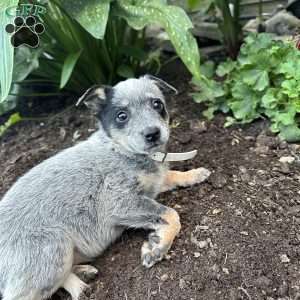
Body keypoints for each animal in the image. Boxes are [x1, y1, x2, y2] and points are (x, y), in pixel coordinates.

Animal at [0, 75, 211, 300]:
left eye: (157, 104)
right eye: (121, 116)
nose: (152, 133)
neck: (120, 149)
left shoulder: (154, 183)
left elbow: (172, 176)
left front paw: (195, 173)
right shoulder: (119, 203)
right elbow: (171, 214)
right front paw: (157, 247)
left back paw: (84, 271)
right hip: (54, 248)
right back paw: (81, 287)